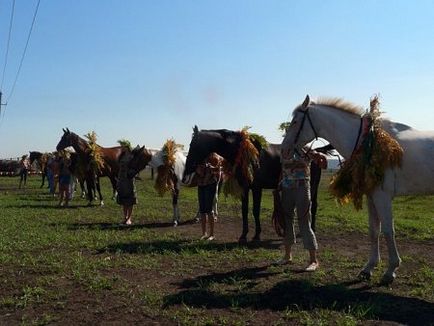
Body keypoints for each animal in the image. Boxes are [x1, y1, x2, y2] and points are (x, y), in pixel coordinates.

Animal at [182, 126, 332, 243]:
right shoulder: (245, 188)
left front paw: (256, 235)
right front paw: (243, 235)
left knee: (313, 205)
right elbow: (245, 211)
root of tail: (315, 152)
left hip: (312, 186)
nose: (187, 170)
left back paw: (311, 229)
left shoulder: (256, 188)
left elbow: (255, 211)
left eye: (193, 145)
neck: (243, 152)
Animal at [282, 94, 434, 282]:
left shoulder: (383, 197)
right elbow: (374, 231)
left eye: (295, 121)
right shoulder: (372, 196)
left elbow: (388, 231)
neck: (367, 142)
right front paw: (369, 267)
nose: (284, 149)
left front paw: (391, 269)